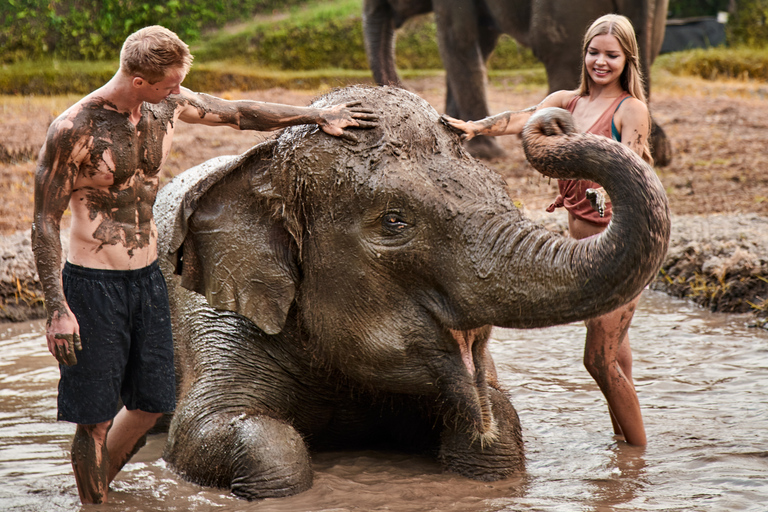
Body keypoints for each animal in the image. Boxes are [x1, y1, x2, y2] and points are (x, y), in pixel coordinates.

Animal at [153, 85, 668, 500]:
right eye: (394, 221)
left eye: (500, 189)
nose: (553, 120)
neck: (261, 164)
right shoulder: (213, 316)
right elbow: (208, 432)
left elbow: (499, 421)